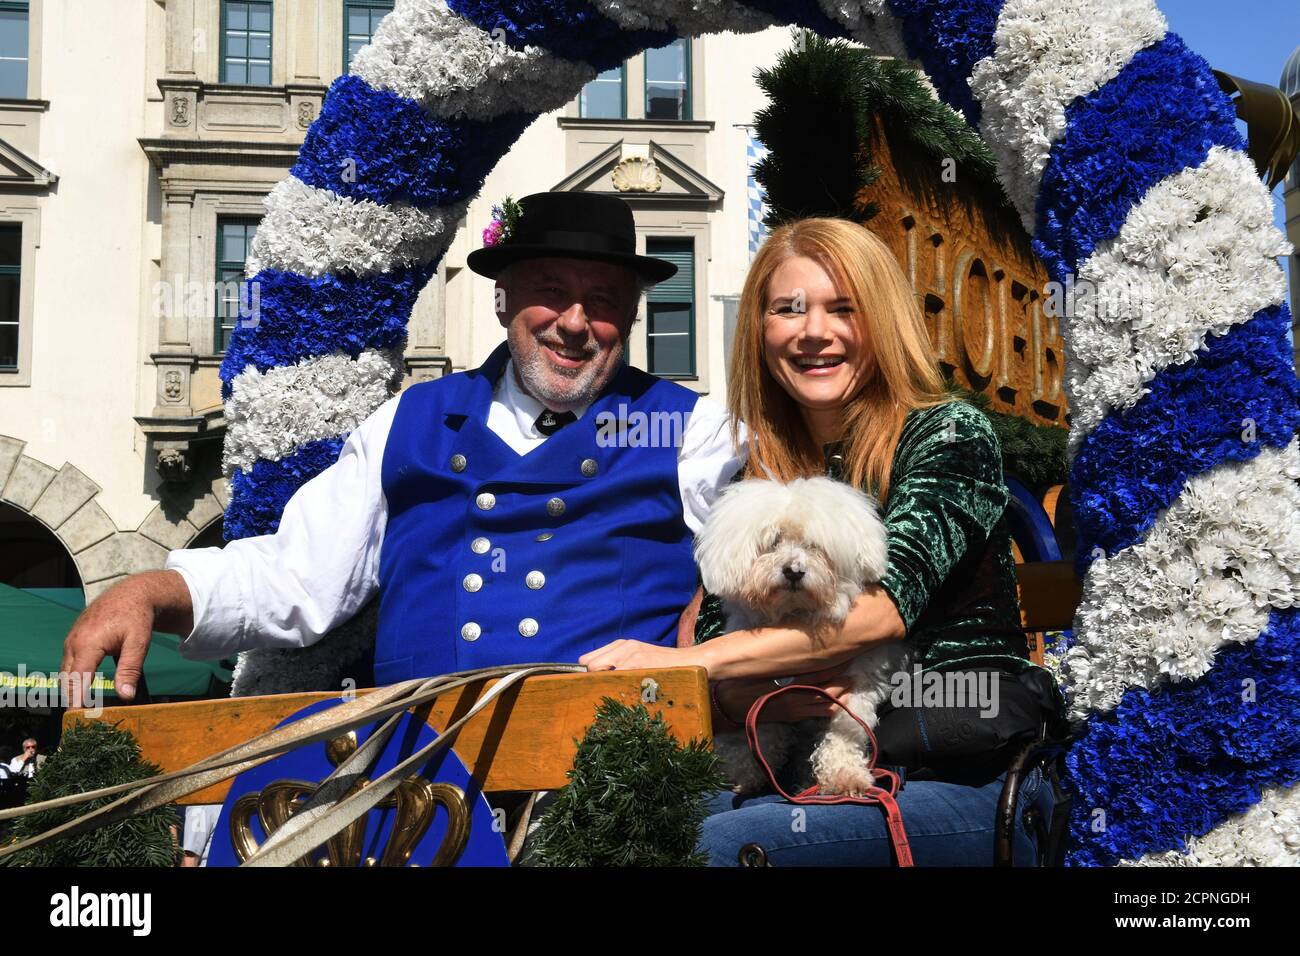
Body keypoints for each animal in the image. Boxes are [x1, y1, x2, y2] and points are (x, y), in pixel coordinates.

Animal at [696, 478, 909, 801]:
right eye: (773, 542)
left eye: (814, 545)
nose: (794, 571)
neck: (795, 614)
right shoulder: (757, 695)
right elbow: (762, 732)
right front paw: (749, 772)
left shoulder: (857, 685)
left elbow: (846, 730)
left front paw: (844, 775)